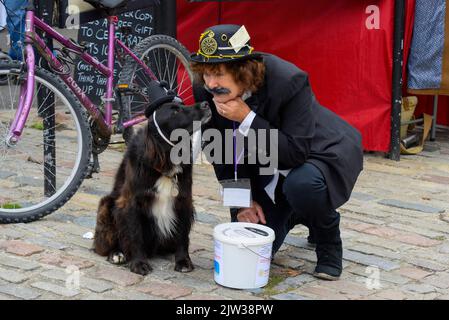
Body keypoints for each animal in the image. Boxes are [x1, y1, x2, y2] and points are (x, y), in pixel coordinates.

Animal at [93, 100, 212, 276]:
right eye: (174, 111)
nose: (205, 103)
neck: (165, 160)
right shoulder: (132, 203)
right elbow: (135, 235)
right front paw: (139, 263)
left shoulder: (184, 201)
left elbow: (183, 235)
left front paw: (183, 261)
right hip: (107, 203)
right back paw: (117, 253)